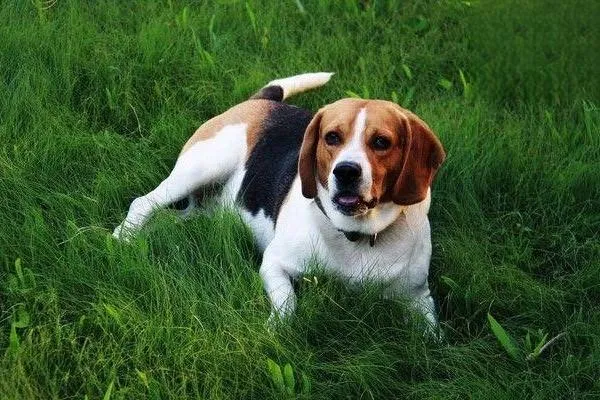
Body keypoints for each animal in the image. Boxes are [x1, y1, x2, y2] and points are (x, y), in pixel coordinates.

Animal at [115, 72, 446, 332]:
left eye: (381, 142)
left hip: (200, 210)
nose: (346, 171)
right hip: (203, 166)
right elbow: (288, 304)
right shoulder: (274, 263)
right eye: (332, 137)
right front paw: (276, 330)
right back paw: (123, 239)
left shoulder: (419, 297)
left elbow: (433, 335)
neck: (356, 235)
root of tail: (260, 101)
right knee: (143, 203)